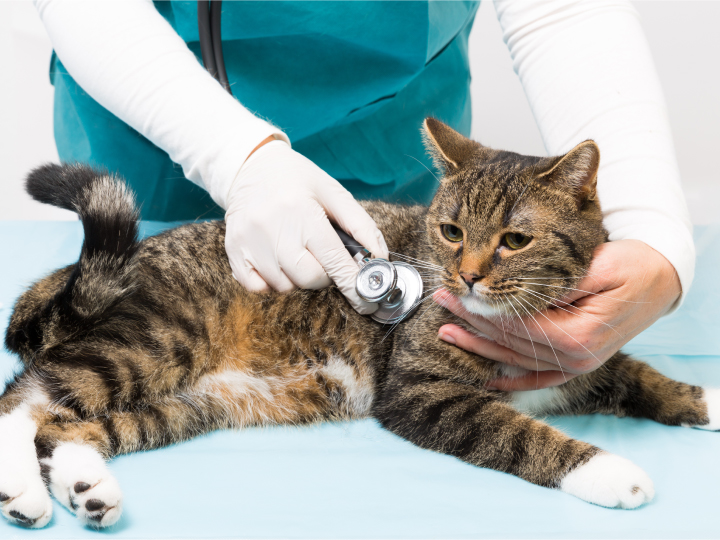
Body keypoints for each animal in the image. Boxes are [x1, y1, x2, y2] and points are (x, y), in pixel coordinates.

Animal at [0, 118, 716, 528]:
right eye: (451, 232)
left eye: (515, 240)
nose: (467, 276)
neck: (525, 321)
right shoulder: (422, 393)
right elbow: (518, 435)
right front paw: (609, 471)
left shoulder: (584, 361)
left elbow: (642, 377)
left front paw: (705, 398)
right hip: (155, 339)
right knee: (24, 402)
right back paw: (26, 491)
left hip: (196, 401)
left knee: (68, 428)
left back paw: (85, 485)